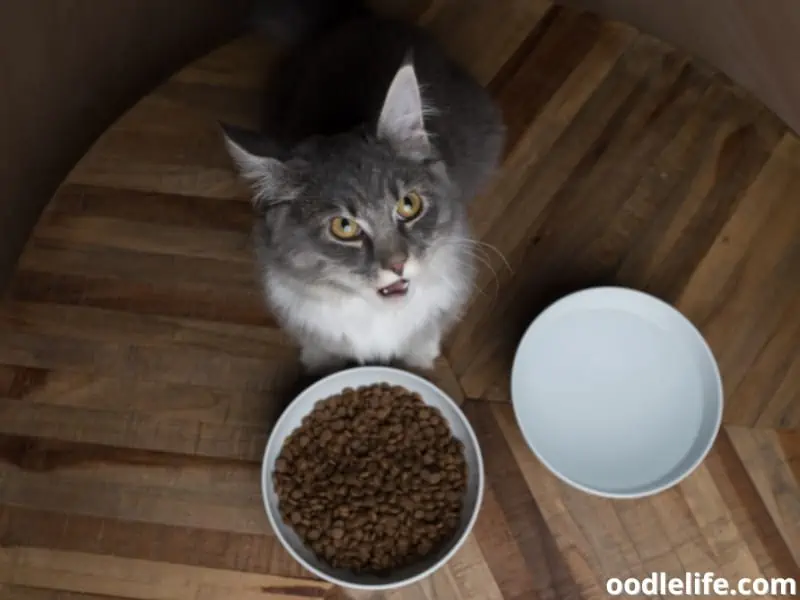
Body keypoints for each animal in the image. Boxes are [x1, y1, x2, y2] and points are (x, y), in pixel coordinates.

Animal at [222, 0, 504, 372]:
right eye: (344, 226)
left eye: (409, 205)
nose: (398, 264)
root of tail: (355, 19)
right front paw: (319, 362)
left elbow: (427, 330)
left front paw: (420, 356)